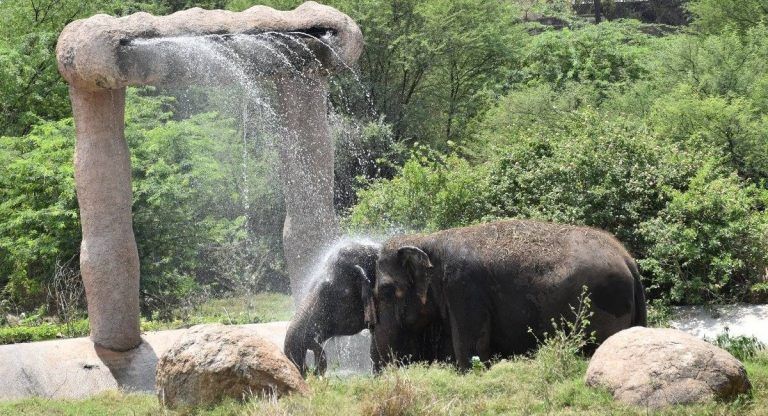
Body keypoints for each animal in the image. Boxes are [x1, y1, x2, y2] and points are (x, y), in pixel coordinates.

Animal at [372, 221, 648, 370]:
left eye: (385, 291)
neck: (428, 240)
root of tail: (627, 259)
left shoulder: (463, 287)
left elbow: (472, 351)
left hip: (604, 302)